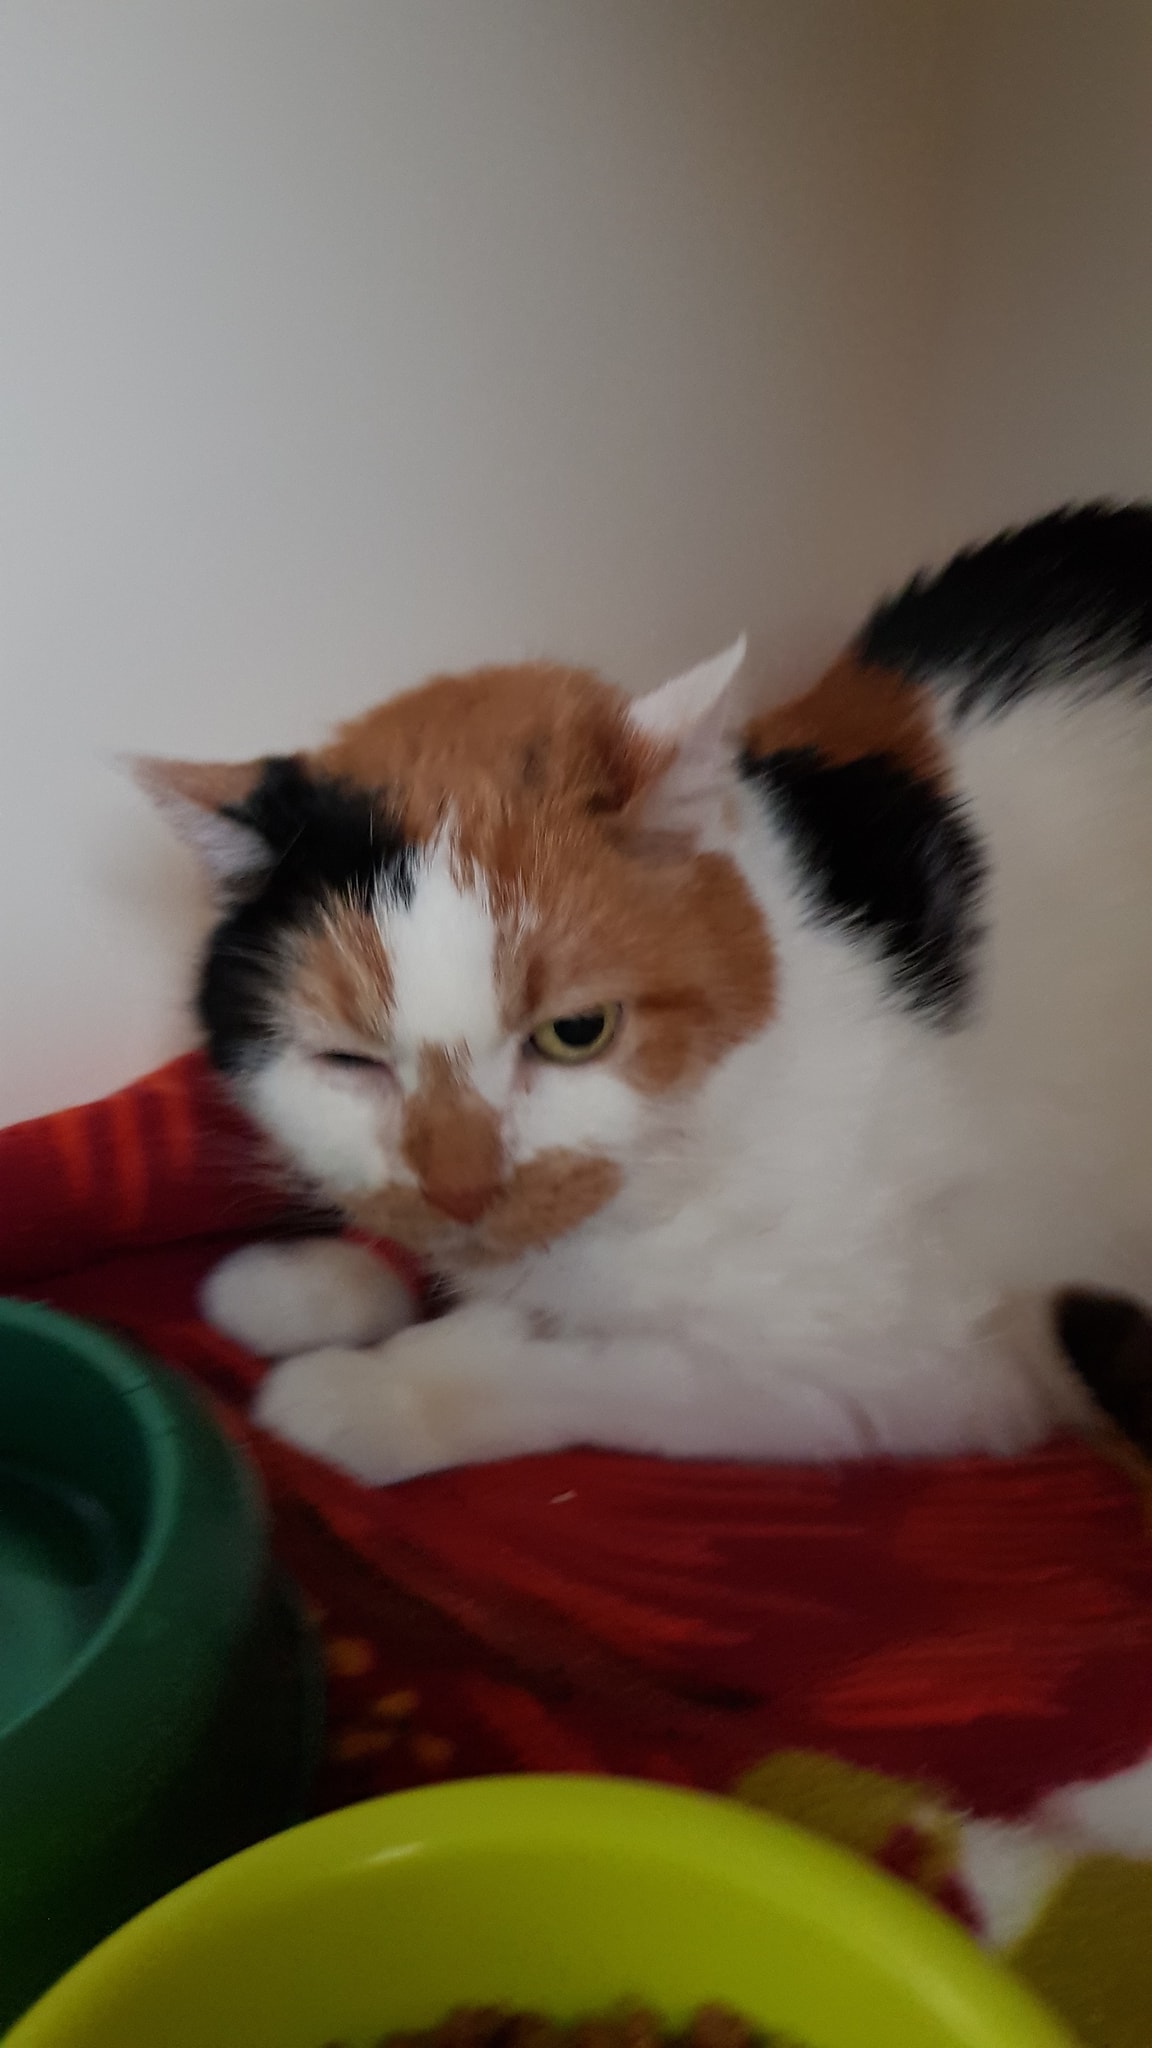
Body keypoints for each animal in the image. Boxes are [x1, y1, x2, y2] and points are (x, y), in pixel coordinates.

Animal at [135, 501, 1152, 1486]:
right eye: (349, 1061)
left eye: (576, 1031)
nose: (463, 1192)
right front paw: (304, 1282)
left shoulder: (902, 1363)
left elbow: (564, 1360)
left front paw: (375, 1393)